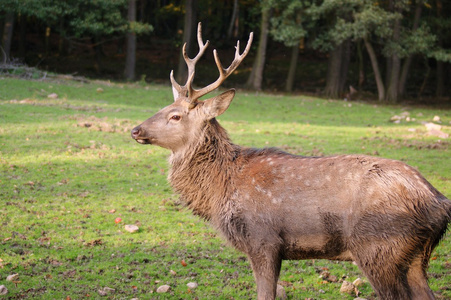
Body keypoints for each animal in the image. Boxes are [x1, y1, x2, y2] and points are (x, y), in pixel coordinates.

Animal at [132, 24, 451, 300]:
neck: (220, 191)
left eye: (175, 116)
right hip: (416, 256)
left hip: (378, 247)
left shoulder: (263, 240)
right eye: (164, 107)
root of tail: (439, 204)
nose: (135, 129)